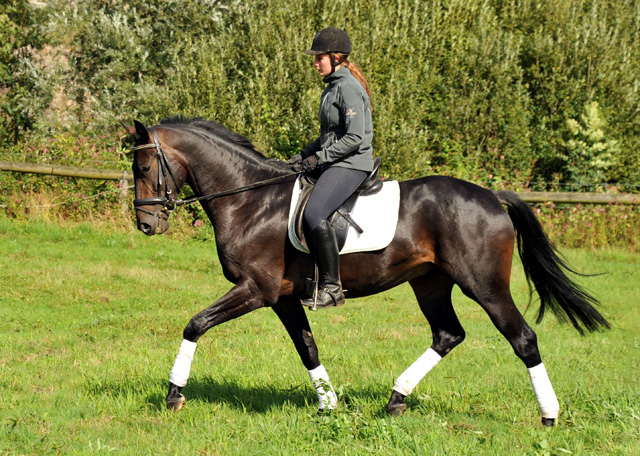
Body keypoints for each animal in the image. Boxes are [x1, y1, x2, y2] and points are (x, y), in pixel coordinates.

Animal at [124, 116, 608, 426]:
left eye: (144, 166)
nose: (146, 224)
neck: (250, 200)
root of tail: (491, 196)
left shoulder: (256, 289)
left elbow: (195, 324)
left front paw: (174, 395)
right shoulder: (283, 298)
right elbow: (307, 349)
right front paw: (328, 405)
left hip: (484, 286)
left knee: (522, 339)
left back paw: (549, 416)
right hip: (430, 283)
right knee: (448, 334)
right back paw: (396, 400)